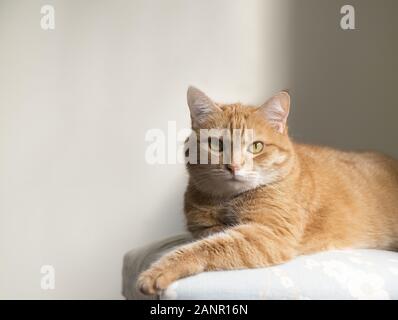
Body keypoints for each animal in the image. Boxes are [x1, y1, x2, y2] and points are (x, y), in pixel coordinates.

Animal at [137, 87, 398, 296]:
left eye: (256, 147)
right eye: (216, 145)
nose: (233, 166)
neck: (229, 199)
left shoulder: (269, 233)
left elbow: (207, 247)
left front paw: (158, 271)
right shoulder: (202, 225)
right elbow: (209, 234)